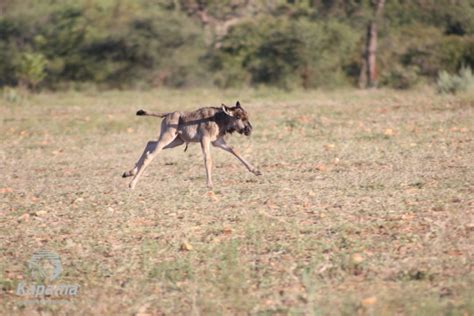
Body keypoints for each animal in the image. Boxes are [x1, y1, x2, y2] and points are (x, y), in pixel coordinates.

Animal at [122, 101, 262, 189]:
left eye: (246, 116)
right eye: (238, 117)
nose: (249, 130)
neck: (219, 119)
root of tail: (167, 114)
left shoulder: (217, 141)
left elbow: (234, 150)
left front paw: (256, 170)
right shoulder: (205, 140)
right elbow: (208, 159)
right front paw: (209, 184)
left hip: (176, 141)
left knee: (150, 143)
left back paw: (129, 172)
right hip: (168, 138)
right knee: (150, 155)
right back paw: (132, 184)